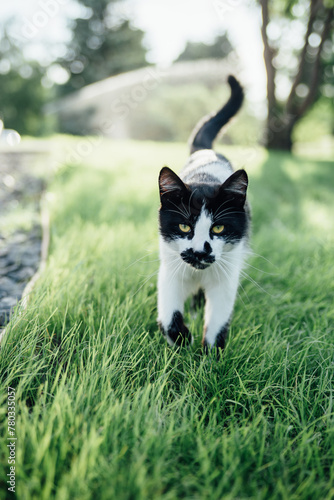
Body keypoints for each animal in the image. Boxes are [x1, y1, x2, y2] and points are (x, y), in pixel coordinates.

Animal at [158, 76, 249, 354]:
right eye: (184, 227)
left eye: (218, 228)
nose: (199, 252)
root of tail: (205, 152)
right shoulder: (170, 268)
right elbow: (168, 313)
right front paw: (181, 340)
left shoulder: (227, 276)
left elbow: (218, 319)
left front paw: (211, 356)